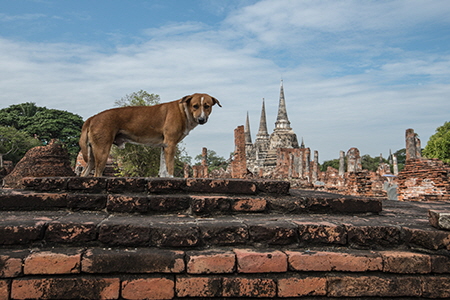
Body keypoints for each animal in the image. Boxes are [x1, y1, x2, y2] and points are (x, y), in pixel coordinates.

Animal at [81, 94, 223, 177]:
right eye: (195, 106)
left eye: (207, 106)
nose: (201, 119)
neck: (184, 111)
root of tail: (93, 117)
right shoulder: (171, 144)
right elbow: (170, 168)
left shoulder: (164, 146)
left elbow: (163, 168)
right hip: (103, 150)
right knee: (97, 173)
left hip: (92, 153)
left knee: (85, 172)